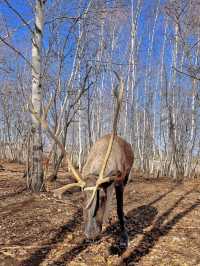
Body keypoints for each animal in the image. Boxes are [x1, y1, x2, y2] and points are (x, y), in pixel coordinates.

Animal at [28, 75, 134, 249]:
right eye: (82, 197)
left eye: (101, 197)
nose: (91, 234)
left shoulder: (118, 180)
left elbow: (119, 209)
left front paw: (123, 238)